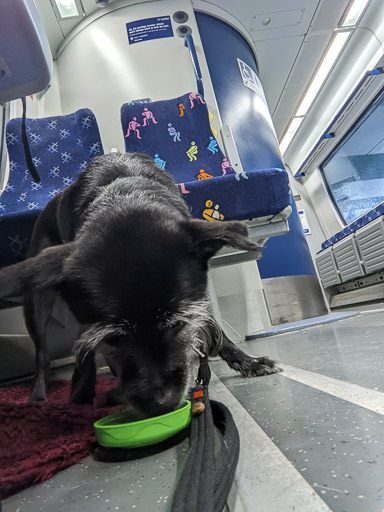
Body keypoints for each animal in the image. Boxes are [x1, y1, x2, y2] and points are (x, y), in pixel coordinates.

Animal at [0, 152, 280, 416]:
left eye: (177, 324)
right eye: (114, 338)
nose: (162, 404)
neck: (125, 197)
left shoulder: (196, 298)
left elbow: (214, 328)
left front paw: (248, 361)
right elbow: (86, 349)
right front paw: (83, 395)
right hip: (37, 299)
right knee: (42, 355)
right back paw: (41, 398)